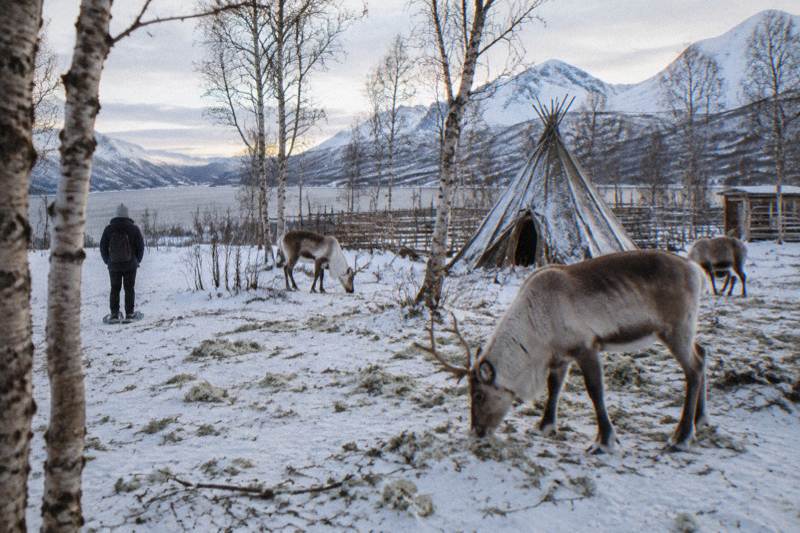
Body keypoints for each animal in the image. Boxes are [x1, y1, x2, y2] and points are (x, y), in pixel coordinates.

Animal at [416, 250, 708, 454]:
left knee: (693, 368)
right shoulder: (559, 356)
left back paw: (680, 437)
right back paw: (700, 419)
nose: (476, 431)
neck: (535, 330)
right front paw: (545, 425)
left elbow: (595, 392)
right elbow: (553, 387)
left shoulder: (586, 346)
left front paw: (604, 441)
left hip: (676, 328)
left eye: (478, 394)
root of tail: (697, 271)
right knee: (703, 353)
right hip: (685, 330)